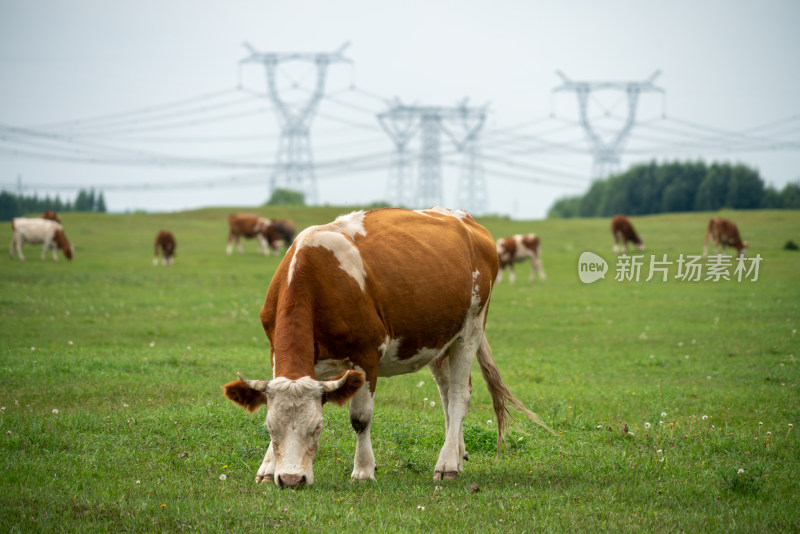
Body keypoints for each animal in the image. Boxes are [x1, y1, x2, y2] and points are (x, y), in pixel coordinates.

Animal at [222, 208, 552, 490]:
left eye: (317, 427)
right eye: (270, 429)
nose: (292, 480)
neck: (314, 274)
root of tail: (465, 219)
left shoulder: (366, 355)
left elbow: (360, 418)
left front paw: (363, 470)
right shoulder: (277, 354)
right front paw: (267, 470)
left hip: (470, 329)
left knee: (459, 396)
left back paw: (447, 465)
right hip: (437, 341)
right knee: (448, 397)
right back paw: (457, 452)